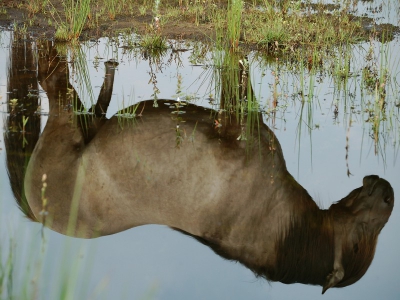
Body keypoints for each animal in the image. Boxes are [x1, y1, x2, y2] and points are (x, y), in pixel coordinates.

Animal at [18, 43, 394, 294]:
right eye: (357, 244)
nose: (388, 193)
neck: (279, 226)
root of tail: (37, 210)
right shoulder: (240, 124)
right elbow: (238, 69)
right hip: (64, 118)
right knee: (51, 79)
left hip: (85, 123)